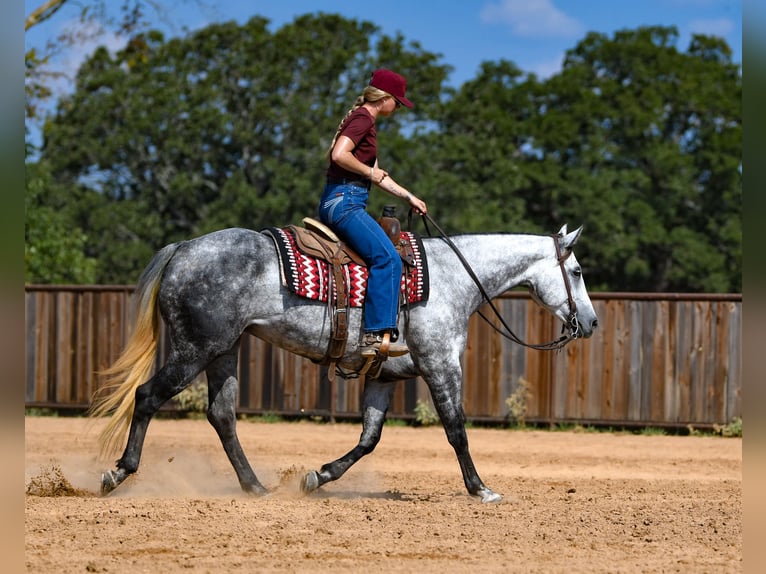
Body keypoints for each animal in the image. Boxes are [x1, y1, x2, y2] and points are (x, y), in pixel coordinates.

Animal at [91, 223, 598, 503]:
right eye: (576, 272)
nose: (591, 322)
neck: (453, 277)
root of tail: (183, 248)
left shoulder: (386, 377)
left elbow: (369, 439)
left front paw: (318, 477)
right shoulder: (440, 365)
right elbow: (456, 429)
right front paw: (481, 489)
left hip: (223, 351)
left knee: (222, 415)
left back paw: (256, 487)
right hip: (194, 349)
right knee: (147, 396)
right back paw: (118, 473)